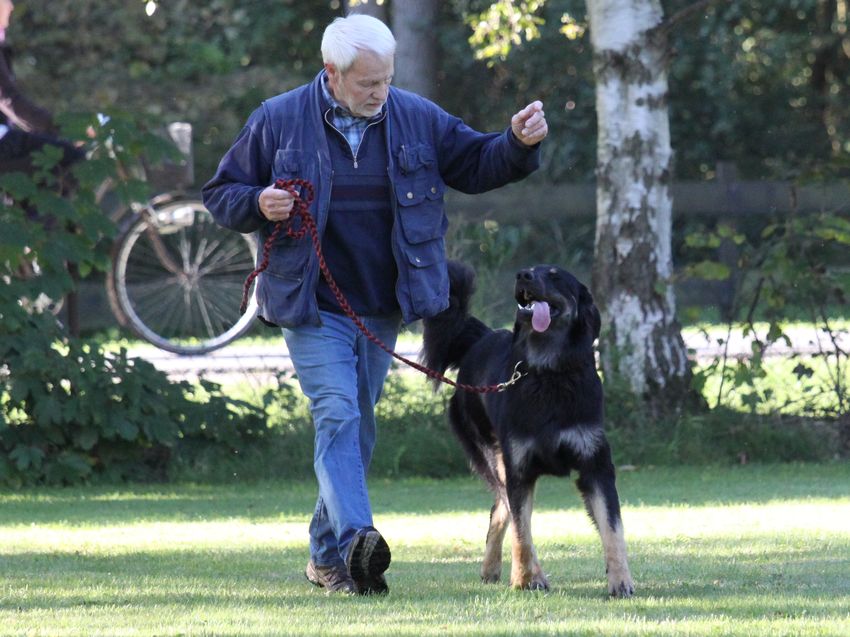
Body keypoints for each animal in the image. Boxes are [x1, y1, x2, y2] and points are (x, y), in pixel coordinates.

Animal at [421, 261, 634, 596]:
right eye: (530, 269)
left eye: (555, 275)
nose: (522, 275)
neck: (549, 373)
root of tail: (481, 338)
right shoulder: (519, 470)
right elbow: (522, 533)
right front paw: (525, 579)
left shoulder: (596, 467)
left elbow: (613, 530)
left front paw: (620, 580)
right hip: (493, 458)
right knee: (505, 511)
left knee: (500, 510)